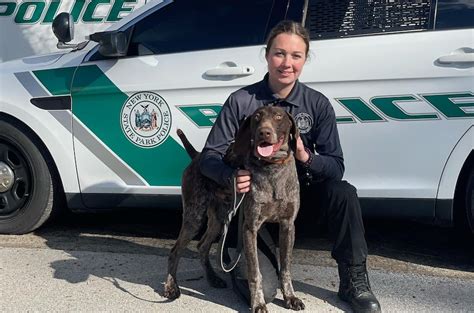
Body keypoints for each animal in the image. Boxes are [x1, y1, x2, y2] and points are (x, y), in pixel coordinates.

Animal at [163, 106, 304, 310]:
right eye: (257, 117)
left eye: (279, 116)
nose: (264, 132)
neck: (272, 168)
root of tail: (197, 155)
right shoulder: (250, 228)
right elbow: (255, 272)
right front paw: (258, 303)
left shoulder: (288, 226)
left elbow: (285, 268)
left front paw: (290, 297)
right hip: (194, 216)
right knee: (175, 251)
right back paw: (171, 287)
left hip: (219, 219)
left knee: (202, 246)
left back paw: (213, 278)